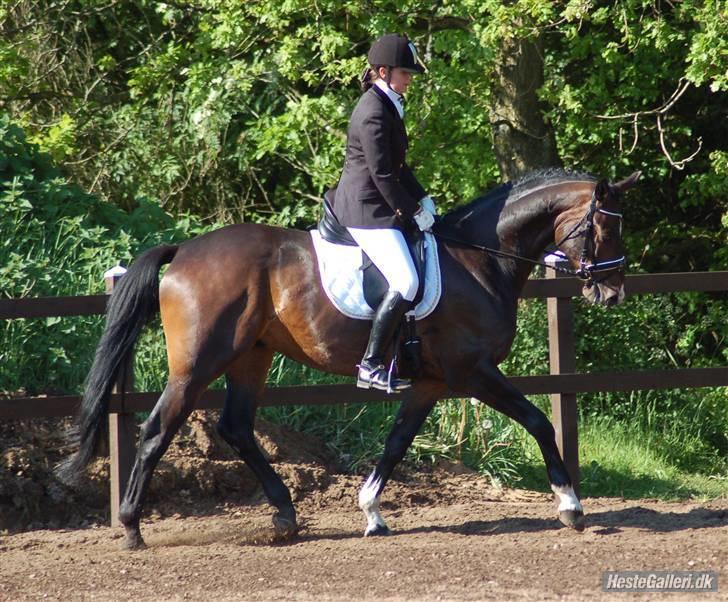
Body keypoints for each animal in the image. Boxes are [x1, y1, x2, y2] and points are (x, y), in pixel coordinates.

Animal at [59, 166, 640, 548]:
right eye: (606, 227)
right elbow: (539, 420)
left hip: (252, 356)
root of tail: (183, 250)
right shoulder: (472, 372)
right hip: (198, 364)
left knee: (237, 426)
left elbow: (397, 442)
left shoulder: (432, 382)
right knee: (159, 428)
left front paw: (372, 514)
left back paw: (285, 517)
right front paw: (571, 506)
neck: (479, 261)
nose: (613, 294)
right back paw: (132, 527)